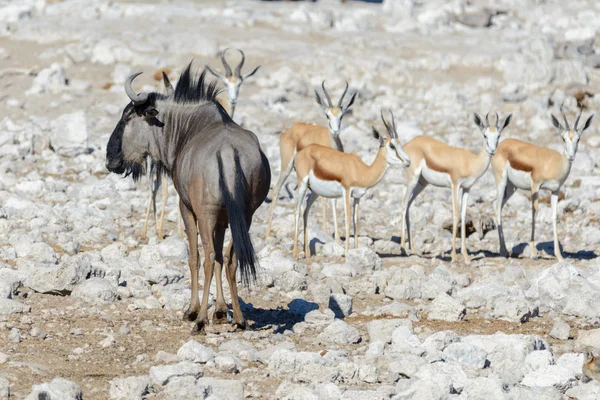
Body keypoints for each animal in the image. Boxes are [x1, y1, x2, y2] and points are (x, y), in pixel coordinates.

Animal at [264, 79, 354, 239]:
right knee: (276, 189)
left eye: (341, 116)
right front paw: (328, 232)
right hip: (287, 167)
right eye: (327, 115)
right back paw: (268, 233)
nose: (335, 131)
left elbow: (333, 201)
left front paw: (337, 237)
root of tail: (289, 130)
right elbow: (326, 200)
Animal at [292, 111, 410, 258]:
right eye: (392, 146)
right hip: (302, 185)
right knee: (297, 211)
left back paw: (307, 253)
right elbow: (348, 219)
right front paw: (347, 252)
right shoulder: (346, 192)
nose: (408, 161)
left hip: (315, 192)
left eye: (400, 144)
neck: (362, 171)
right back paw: (295, 253)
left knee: (306, 211)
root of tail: (301, 153)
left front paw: (357, 249)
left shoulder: (358, 197)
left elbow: (355, 221)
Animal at [398, 111, 510, 264]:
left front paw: (466, 256)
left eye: (498, 135)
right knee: (404, 203)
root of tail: (409, 144)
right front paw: (454, 256)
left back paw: (413, 249)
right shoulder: (455, 185)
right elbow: (456, 214)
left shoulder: (467, 188)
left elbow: (463, 215)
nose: (492, 150)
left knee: (409, 205)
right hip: (413, 179)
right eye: (485, 135)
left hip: (422, 183)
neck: (471, 162)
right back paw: (403, 249)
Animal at [490, 104, 592, 260]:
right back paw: (503, 252)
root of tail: (501, 144)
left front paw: (559, 255)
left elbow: (554, 216)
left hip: (512, 187)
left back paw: (504, 250)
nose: (571, 156)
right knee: (497, 206)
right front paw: (533, 253)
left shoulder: (555, 191)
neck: (555, 164)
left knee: (497, 204)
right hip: (501, 181)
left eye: (578, 139)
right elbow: (535, 212)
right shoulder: (535, 186)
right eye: (563, 138)